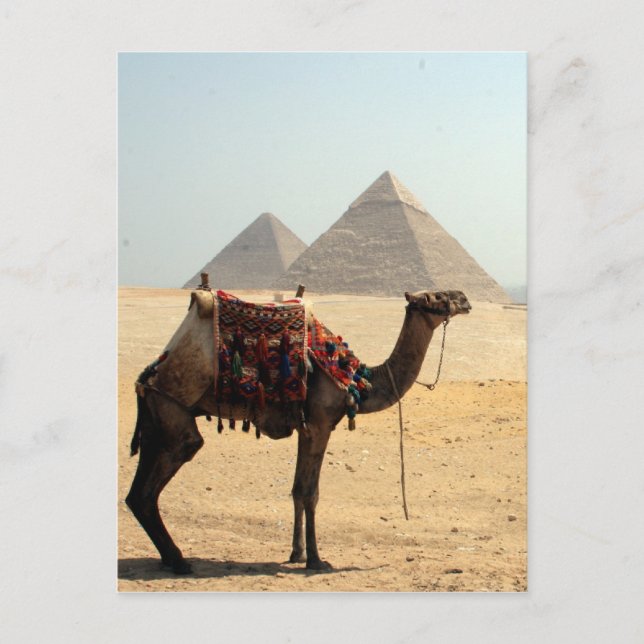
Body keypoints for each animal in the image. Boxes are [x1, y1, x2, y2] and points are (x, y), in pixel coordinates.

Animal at [126, 288, 471, 573]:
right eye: (437, 296)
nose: (465, 299)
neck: (357, 379)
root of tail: (148, 375)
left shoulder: (306, 429)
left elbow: (295, 489)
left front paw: (297, 553)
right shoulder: (320, 425)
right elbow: (310, 492)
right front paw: (316, 560)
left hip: (157, 420)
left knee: (137, 493)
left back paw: (170, 557)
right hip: (174, 414)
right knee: (154, 482)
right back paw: (178, 560)